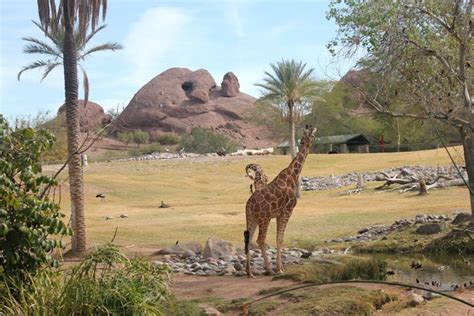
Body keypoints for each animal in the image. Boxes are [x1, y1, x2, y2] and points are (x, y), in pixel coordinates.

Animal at [243, 124, 316, 278]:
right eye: (312, 135)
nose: (311, 142)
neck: (293, 175)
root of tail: (249, 204)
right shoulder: (288, 211)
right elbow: (280, 238)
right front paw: (279, 269)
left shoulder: (278, 214)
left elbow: (278, 238)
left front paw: (280, 267)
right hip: (264, 218)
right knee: (260, 239)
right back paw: (268, 269)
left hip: (251, 218)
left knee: (249, 239)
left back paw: (249, 273)